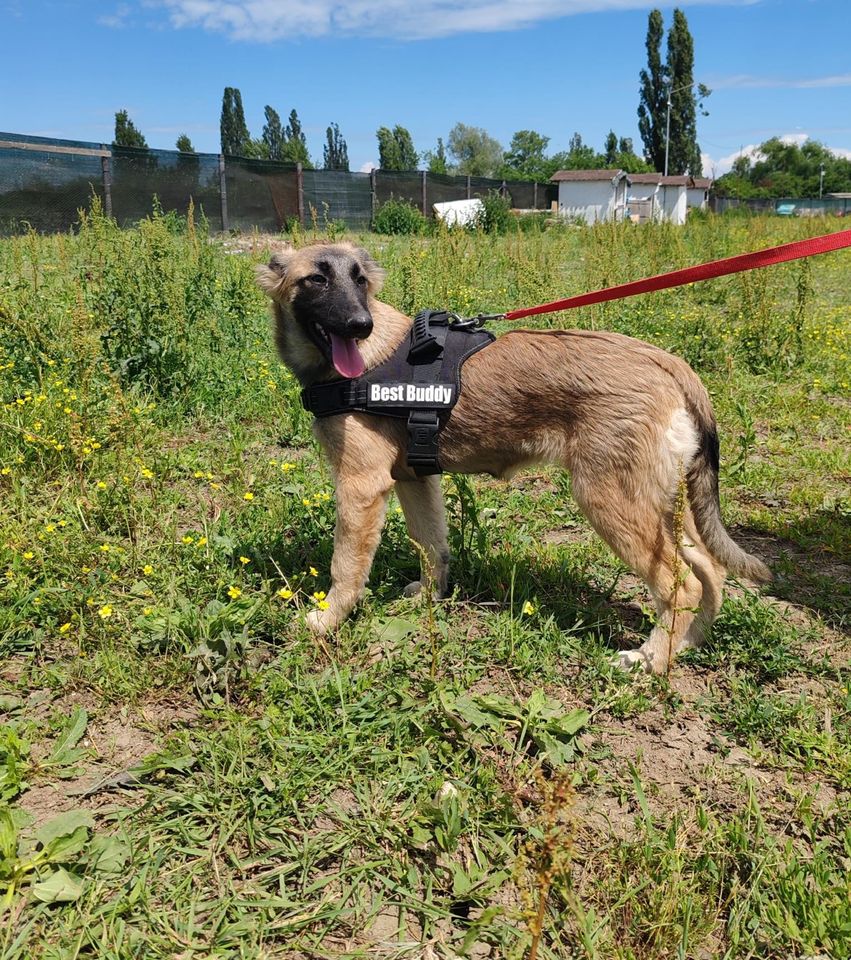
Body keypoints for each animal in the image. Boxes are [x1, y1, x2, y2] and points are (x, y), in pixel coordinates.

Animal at [255, 242, 772, 676]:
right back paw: (688, 643)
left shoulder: (361, 486)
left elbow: (345, 567)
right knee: (709, 570)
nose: (360, 325)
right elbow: (432, 546)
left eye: (359, 279)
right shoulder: (414, 479)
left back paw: (652, 661)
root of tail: (666, 362)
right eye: (315, 279)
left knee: (680, 584)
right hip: (660, 503)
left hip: (612, 502)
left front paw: (325, 621)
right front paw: (430, 598)